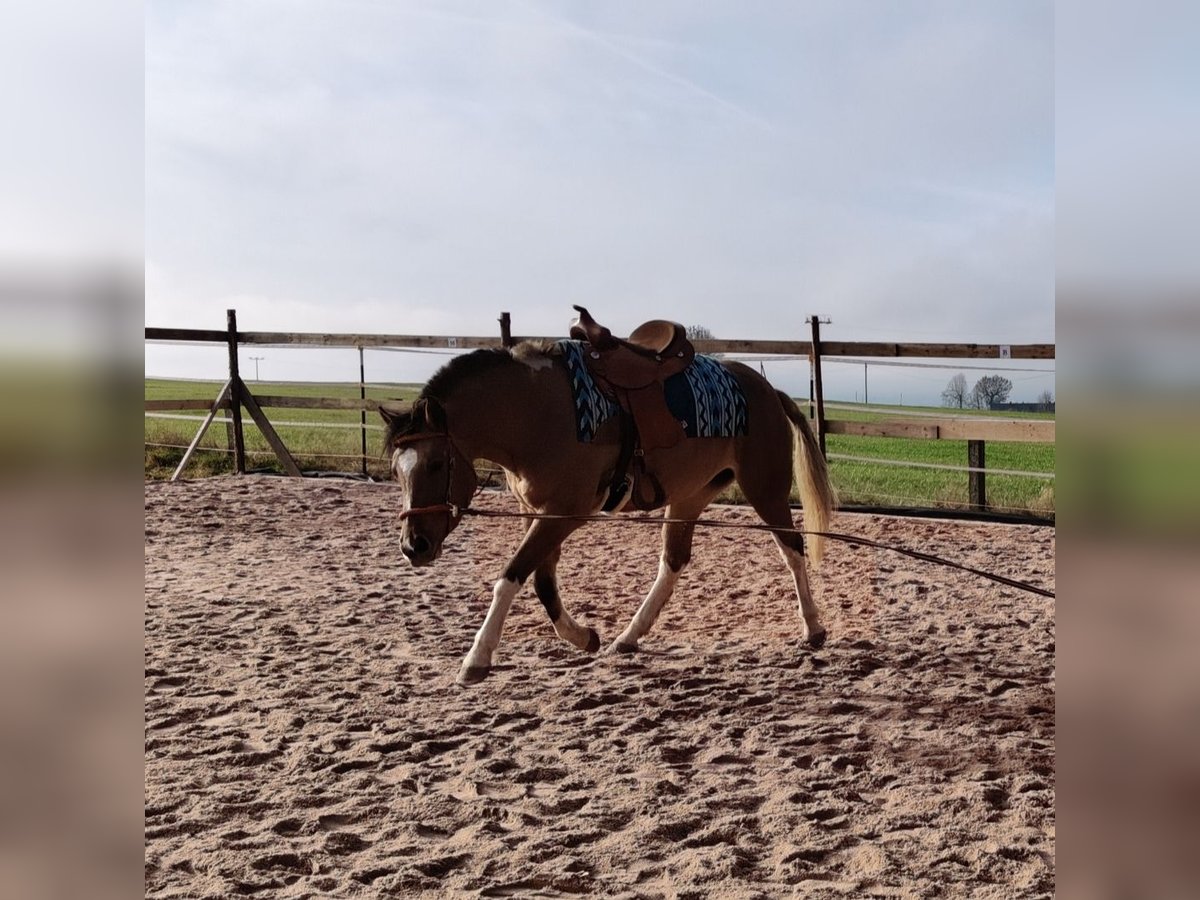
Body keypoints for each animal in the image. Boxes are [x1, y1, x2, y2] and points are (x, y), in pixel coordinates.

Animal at [379, 329, 836, 685]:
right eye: (397, 470)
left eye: (436, 463)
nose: (413, 546)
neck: (537, 413)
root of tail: (769, 391)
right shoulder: (538, 513)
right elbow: (543, 583)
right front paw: (585, 637)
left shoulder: (563, 513)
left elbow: (511, 576)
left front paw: (477, 657)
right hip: (690, 496)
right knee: (673, 563)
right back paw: (629, 636)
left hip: (766, 491)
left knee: (793, 549)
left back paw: (813, 627)